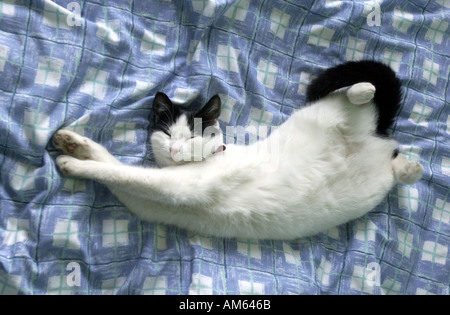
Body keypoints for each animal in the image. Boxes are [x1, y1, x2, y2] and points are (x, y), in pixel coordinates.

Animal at [52, 60, 426, 241]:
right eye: (167, 133)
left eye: (191, 136)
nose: (174, 149)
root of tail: (377, 137)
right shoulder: (148, 201)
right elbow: (115, 170)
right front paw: (73, 144)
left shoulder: (174, 186)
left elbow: (119, 171)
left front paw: (71, 162)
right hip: (377, 182)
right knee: (396, 167)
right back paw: (410, 167)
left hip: (328, 112)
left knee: (354, 92)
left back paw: (362, 89)